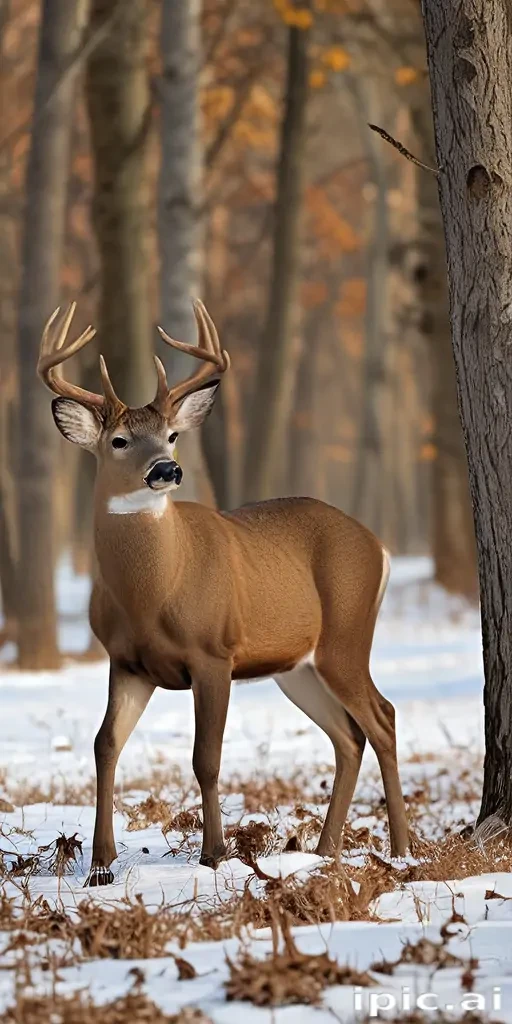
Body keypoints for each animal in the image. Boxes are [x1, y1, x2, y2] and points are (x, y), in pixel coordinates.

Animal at [38, 301, 409, 885]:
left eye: (171, 435)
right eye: (119, 441)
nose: (166, 470)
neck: (152, 595)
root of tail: (378, 545)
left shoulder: (213, 652)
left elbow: (205, 756)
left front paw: (214, 854)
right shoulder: (126, 662)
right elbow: (105, 745)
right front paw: (100, 864)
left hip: (346, 638)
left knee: (383, 717)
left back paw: (401, 848)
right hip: (296, 667)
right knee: (348, 737)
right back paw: (324, 851)